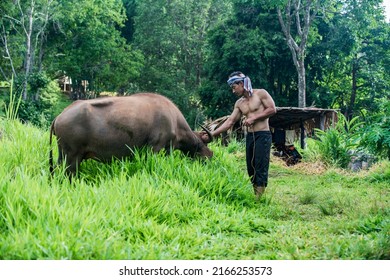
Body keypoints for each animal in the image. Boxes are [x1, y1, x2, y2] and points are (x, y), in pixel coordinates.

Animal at [50, 93, 213, 176]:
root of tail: (59, 116)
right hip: (72, 157)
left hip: (63, 154)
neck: (174, 120)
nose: (211, 156)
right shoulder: (154, 148)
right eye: (202, 144)